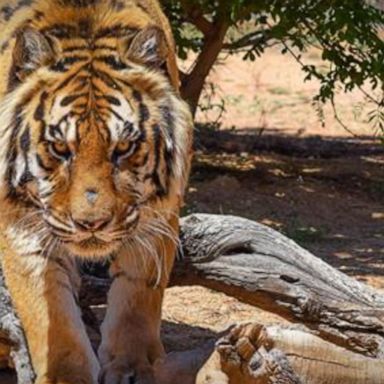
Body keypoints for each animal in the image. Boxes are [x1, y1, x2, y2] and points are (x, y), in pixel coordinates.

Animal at [0, 0, 194, 384]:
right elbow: (49, 311)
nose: (91, 224)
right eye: (60, 148)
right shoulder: (20, 224)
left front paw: (132, 367)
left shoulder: (157, 218)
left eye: (124, 147)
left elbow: (137, 297)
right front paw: (67, 375)